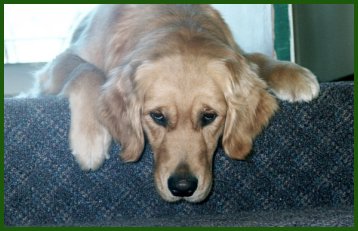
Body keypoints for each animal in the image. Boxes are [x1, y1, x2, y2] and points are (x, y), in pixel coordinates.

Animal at [32, 4, 320, 202]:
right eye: (157, 116)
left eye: (209, 116)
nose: (183, 188)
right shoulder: (56, 65)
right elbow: (85, 70)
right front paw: (90, 138)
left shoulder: (236, 51)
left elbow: (255, 57)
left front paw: (293, 74)